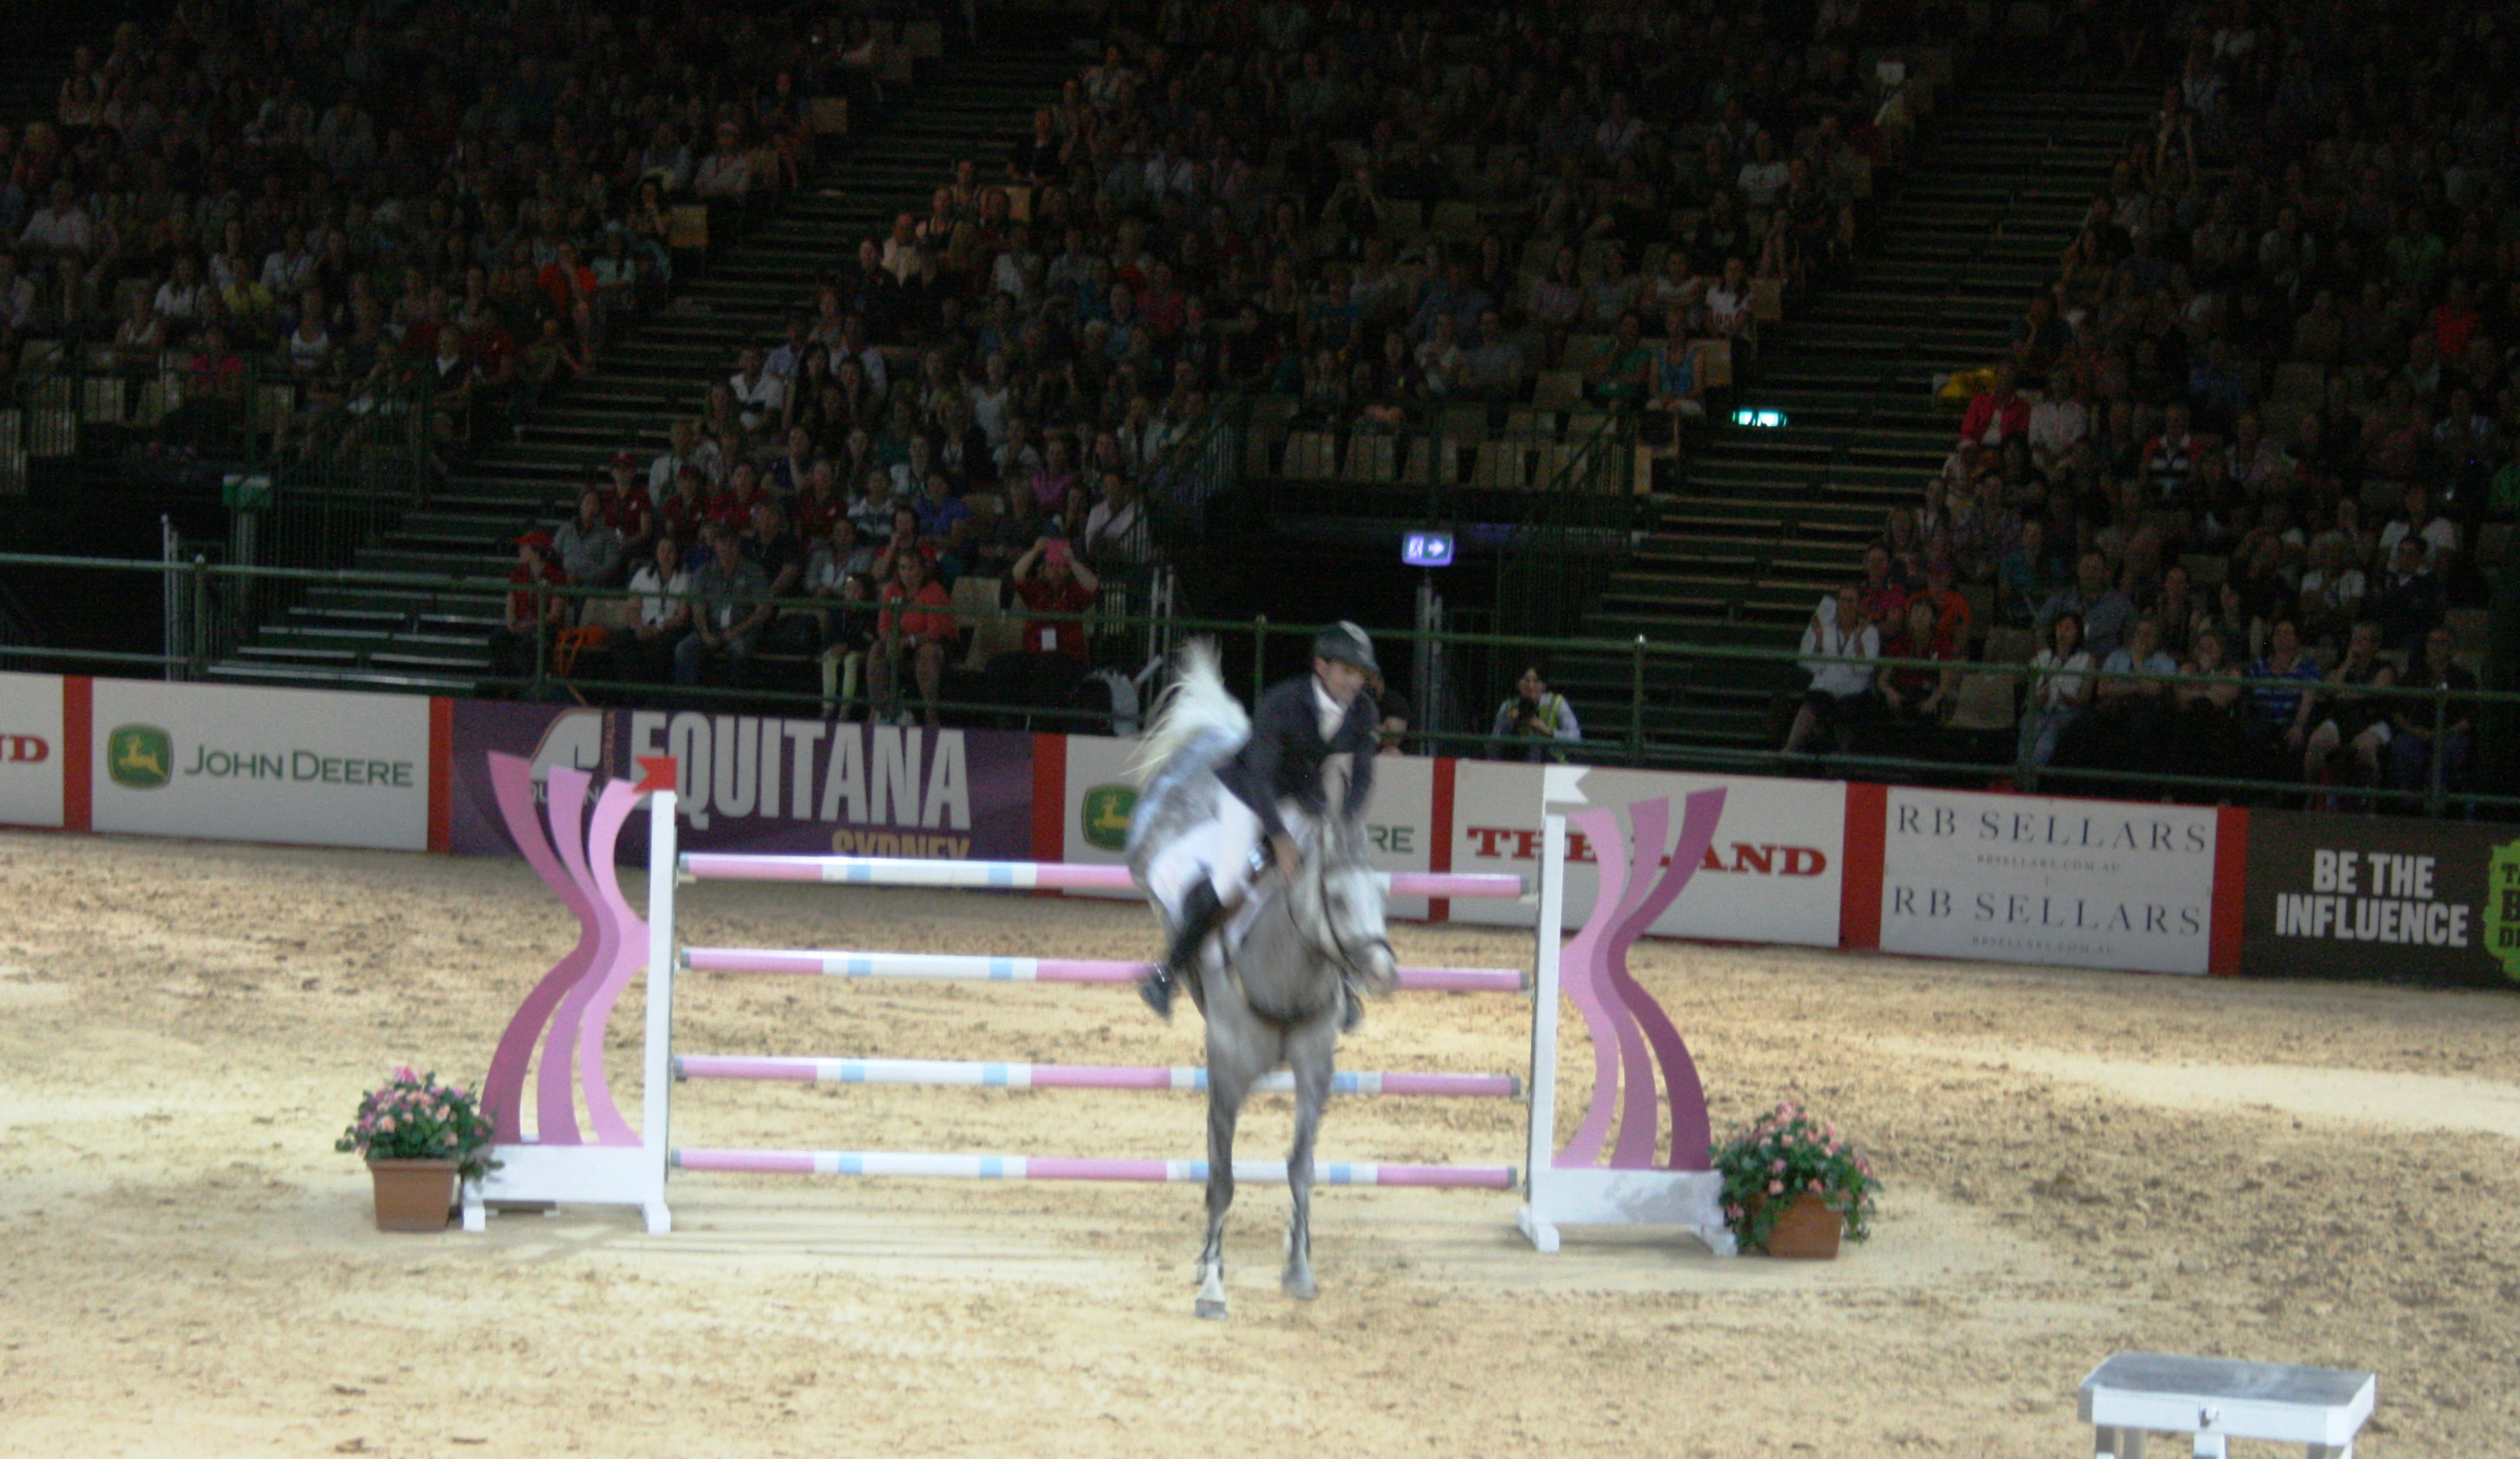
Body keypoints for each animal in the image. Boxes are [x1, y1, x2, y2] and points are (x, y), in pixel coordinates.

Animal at [1128, 645, 1401, 1320]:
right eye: (1335, 898)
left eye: (1379, 896)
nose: (1384, 973)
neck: (1286, 971)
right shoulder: (1226, 1076)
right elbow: (1221, 1178)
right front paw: (1211, 1282)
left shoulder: (1314, 1070)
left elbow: (1300, 1167)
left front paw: (1298, 1267)